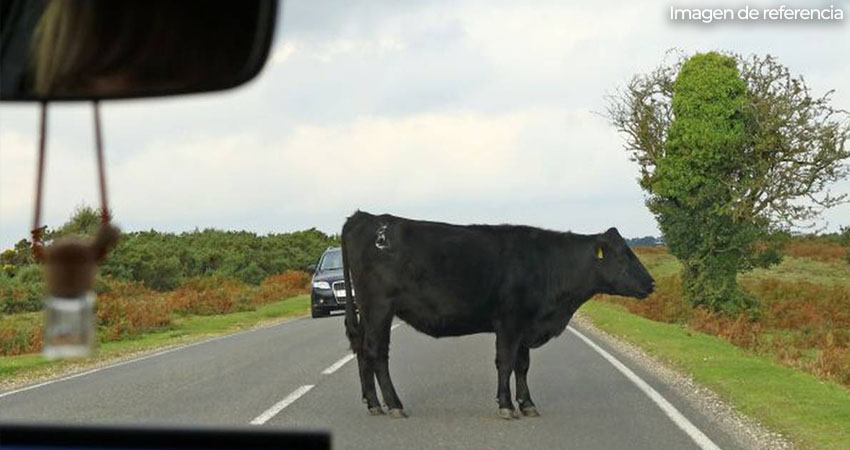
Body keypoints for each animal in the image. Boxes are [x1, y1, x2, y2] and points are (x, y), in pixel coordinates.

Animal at [342, 211, 652, 418]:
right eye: (623, 256)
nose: (651, 283)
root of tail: (366, 217)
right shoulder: (510, 322)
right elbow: (505, 362)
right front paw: (506, 405)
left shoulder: (526, 324)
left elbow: (522, 365)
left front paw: (527, 404)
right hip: (379, 308)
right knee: (377, 353)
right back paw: (394, 405)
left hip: (368, 313)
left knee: (362, 350)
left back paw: (373, 404)